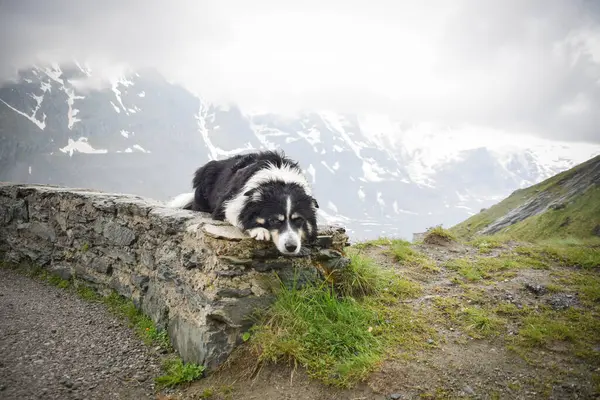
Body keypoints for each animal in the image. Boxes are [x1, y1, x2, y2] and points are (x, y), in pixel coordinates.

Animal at [165, 150, 318, 256]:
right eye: (275, 221)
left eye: (299, 220)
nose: (291, 247)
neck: (280, 181)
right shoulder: (227, 205)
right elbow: (239, 217)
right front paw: (259, 230)